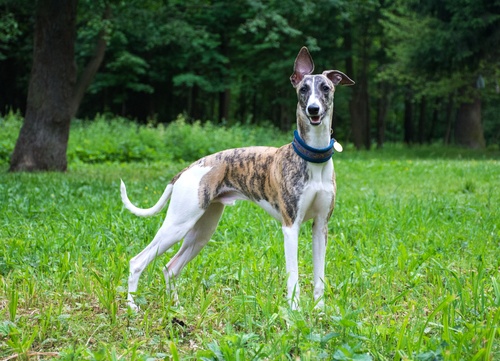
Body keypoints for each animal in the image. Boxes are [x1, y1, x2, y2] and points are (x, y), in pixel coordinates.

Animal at [120, 45, 356, 310]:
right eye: (303, 89)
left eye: (325, 88)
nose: (313, 110)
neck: (313, 158)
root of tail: (187, 169)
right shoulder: (290, 227)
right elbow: (293, 277)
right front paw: (294, 313)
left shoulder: (320, 226)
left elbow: (319, 278)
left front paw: (320, 313)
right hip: (178, 224)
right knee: (137, 261)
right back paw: (132, 306)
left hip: (202, 230)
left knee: (170, 268)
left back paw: (176, 307)